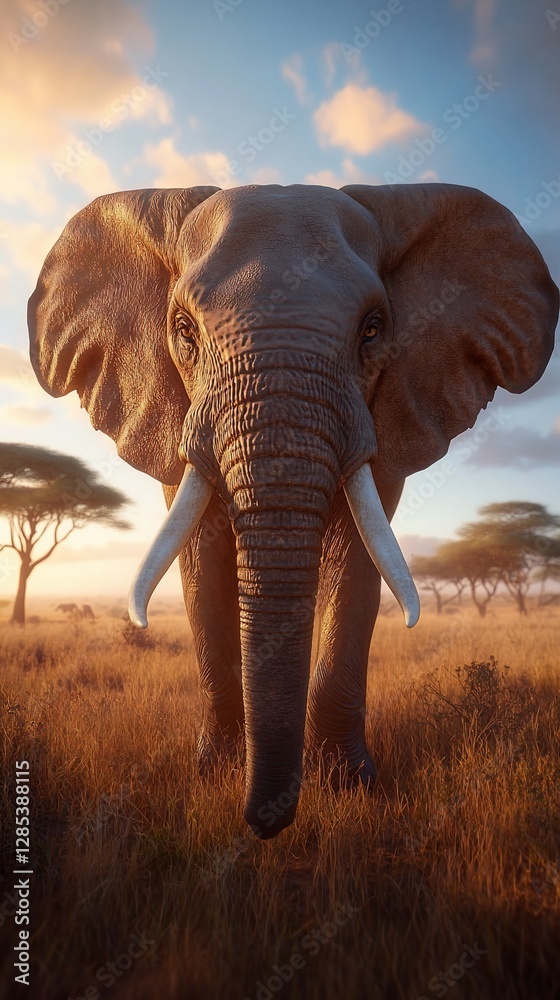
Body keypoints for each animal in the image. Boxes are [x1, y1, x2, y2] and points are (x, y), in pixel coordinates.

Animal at [28, 183, 558, 839]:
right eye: (183, 330)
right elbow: (201, 562)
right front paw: (215, 776)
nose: (265, 827)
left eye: (373, 329)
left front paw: (349, 787)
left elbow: (357, 561)